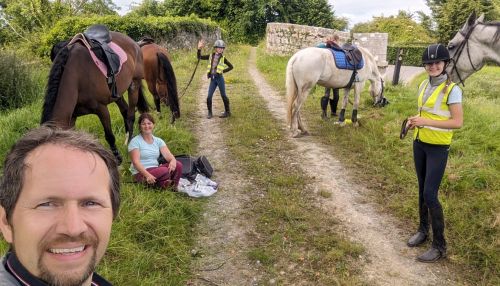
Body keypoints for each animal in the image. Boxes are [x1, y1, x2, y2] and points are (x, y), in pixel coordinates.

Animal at [42, 30, 148, 163]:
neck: (76, 78)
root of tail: (134, 43)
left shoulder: (101, 109)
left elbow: (109, 136)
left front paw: (117, 159)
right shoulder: (72, 117)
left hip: (134, 84)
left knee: (130, 115)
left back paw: (130, 144)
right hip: (117, 94)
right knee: (125, 111)